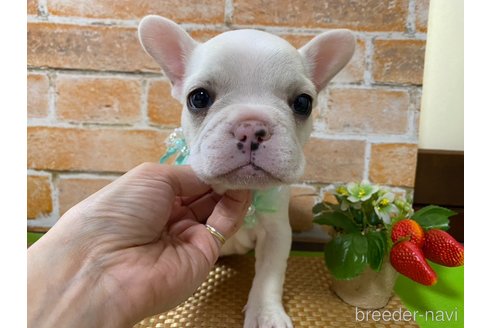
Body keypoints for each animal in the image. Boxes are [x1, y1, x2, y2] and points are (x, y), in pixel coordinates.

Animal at [138, 17, 354, 328]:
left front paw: (266, 314)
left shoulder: (277, 233)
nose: (251, 127)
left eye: (303, 103)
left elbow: (269, 276)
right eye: (198, 98)